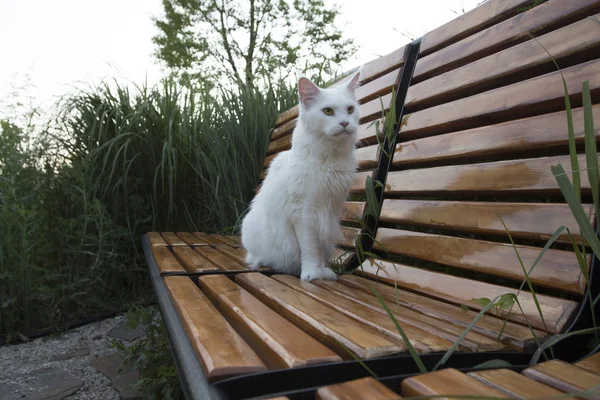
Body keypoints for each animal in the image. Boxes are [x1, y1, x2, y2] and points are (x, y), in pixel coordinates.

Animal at [243, 73, 360, 282]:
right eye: (328, 111)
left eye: (350, 109)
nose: (345, 123)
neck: (330, 159)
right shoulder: (305, 214)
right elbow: (311, 249)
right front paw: (312, 273)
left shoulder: (329, 212)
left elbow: (320, 248)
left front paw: (322, 272)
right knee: (255, 257)